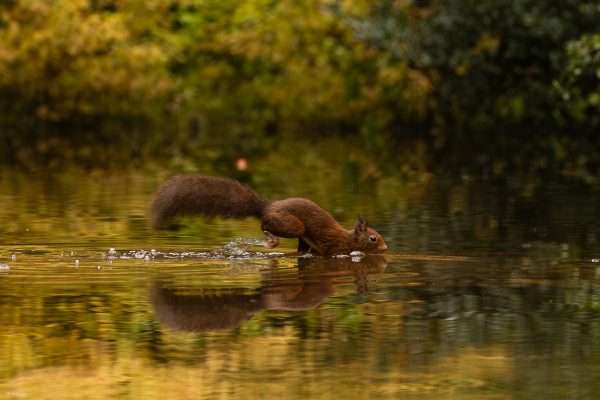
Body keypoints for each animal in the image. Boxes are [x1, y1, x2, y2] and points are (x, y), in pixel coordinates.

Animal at [148, 176, 386, 256]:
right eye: (373, 238)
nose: (386, 248)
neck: (347, 238)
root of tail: (267, 206)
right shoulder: (333, 247)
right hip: (292, 225)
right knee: (265, 225)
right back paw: (270, 241)